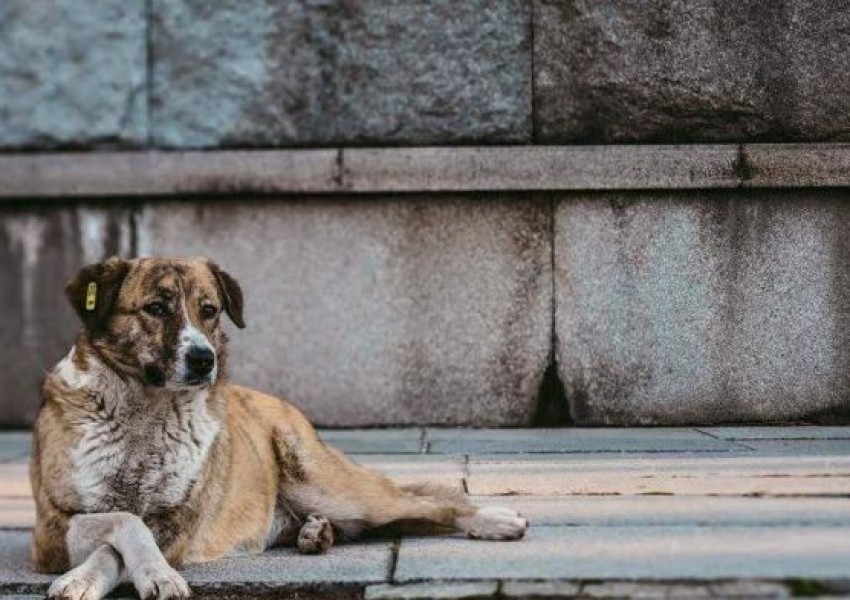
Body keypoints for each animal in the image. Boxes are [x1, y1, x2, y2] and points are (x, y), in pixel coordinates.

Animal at [29, 258, 528, 600]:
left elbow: (123, 536)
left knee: (428, 501)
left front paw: (154, 575)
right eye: (155, 308)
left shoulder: (179, 522)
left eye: (209, 310)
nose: (204, 359)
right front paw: (89, 578)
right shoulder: (52, 528)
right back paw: (315, 534)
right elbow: (124, 521)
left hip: (332, 487)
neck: (146, 414)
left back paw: (495, 520)